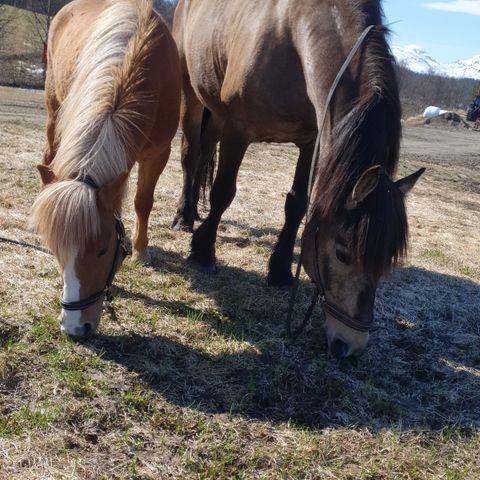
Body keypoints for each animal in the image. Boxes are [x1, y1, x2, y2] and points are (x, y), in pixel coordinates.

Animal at [30, 0, 180, 338]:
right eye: (57, 251)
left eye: (102, 250)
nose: (74, 329)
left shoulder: (158, 153)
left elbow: (143, 202)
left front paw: (140, 250)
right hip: (54, 107)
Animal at [172, 0, 424, 356]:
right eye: (343, 253)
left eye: (387, 260)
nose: (351, 346)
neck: (293, 34)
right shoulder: (238, 129)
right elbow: (224, 193)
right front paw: (202, 252)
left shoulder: (311, 140)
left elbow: (297, 205)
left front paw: (279, 270)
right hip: (191, 95)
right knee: (191, 156)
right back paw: (184, 216)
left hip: (216, 112)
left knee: (206, 152)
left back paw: (194, 210)